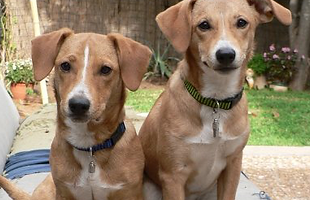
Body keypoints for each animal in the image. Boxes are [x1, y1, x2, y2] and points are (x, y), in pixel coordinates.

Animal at [0, 28, 151, 200]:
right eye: (65, 65)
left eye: (106, 69)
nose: (78, 105)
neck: (89, 147)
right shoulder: (64, 192)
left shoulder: (130, 193)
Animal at [139, 0, 292, 199]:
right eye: (204, 25)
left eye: (242, 22)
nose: (226, 54)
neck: (216, 100)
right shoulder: (173, 175)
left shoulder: (233, 166)